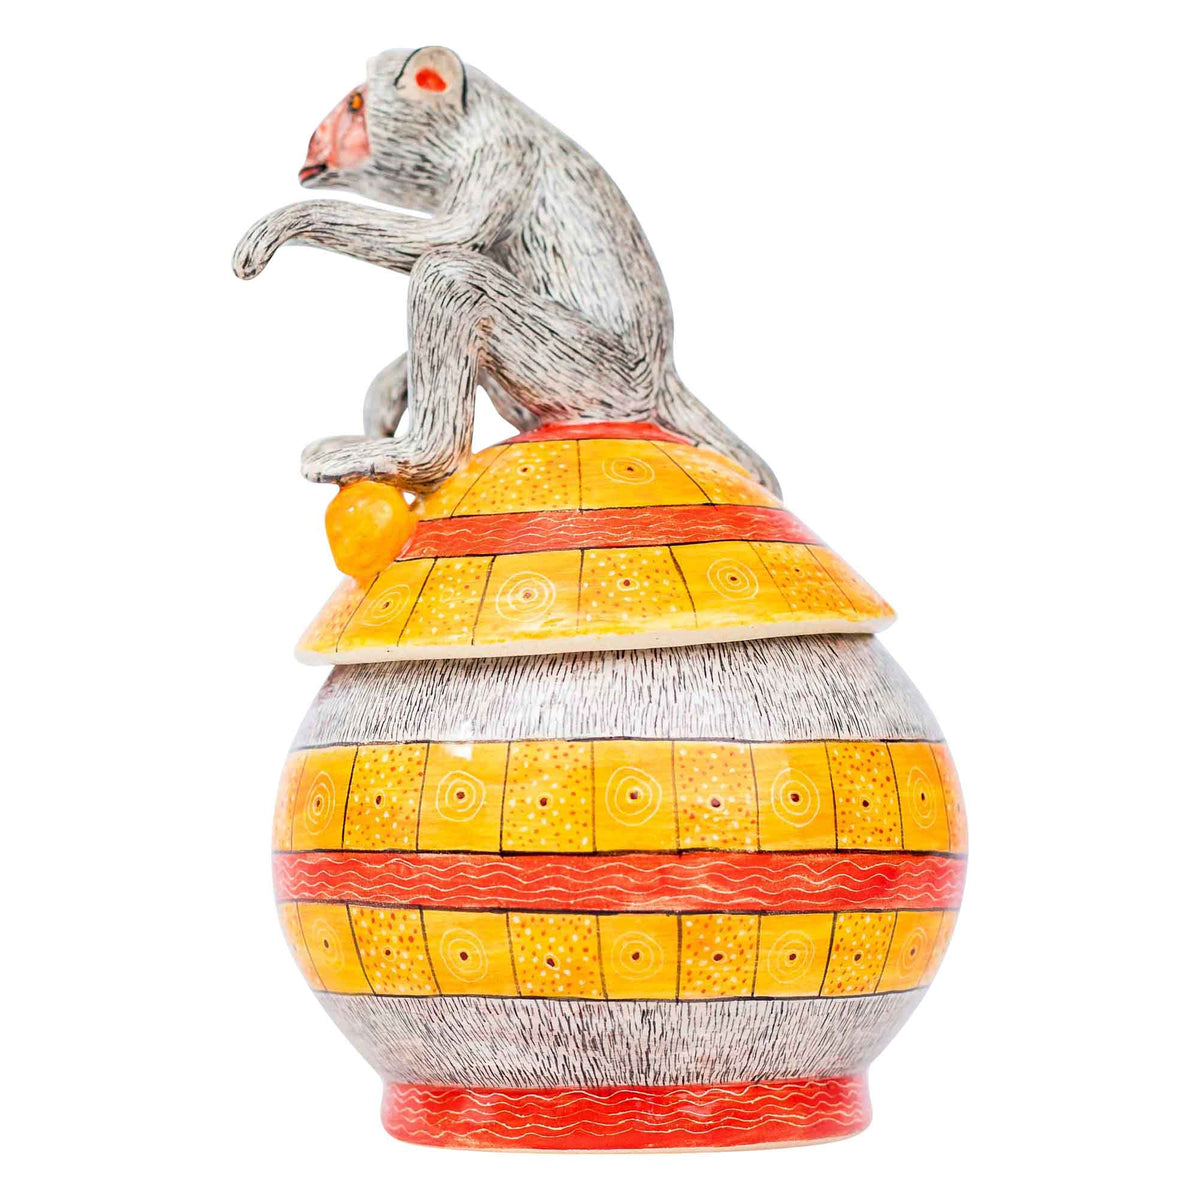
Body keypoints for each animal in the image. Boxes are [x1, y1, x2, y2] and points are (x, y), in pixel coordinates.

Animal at [233, 45, 781, 497]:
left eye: (353, 105)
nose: (316, 139)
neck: (473, 120)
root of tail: (664, 376)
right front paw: (385, 395)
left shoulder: (501, 155)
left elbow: (444, 241)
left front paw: (284, 224)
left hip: (598, 379)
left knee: (448, 277)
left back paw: (408, 458)